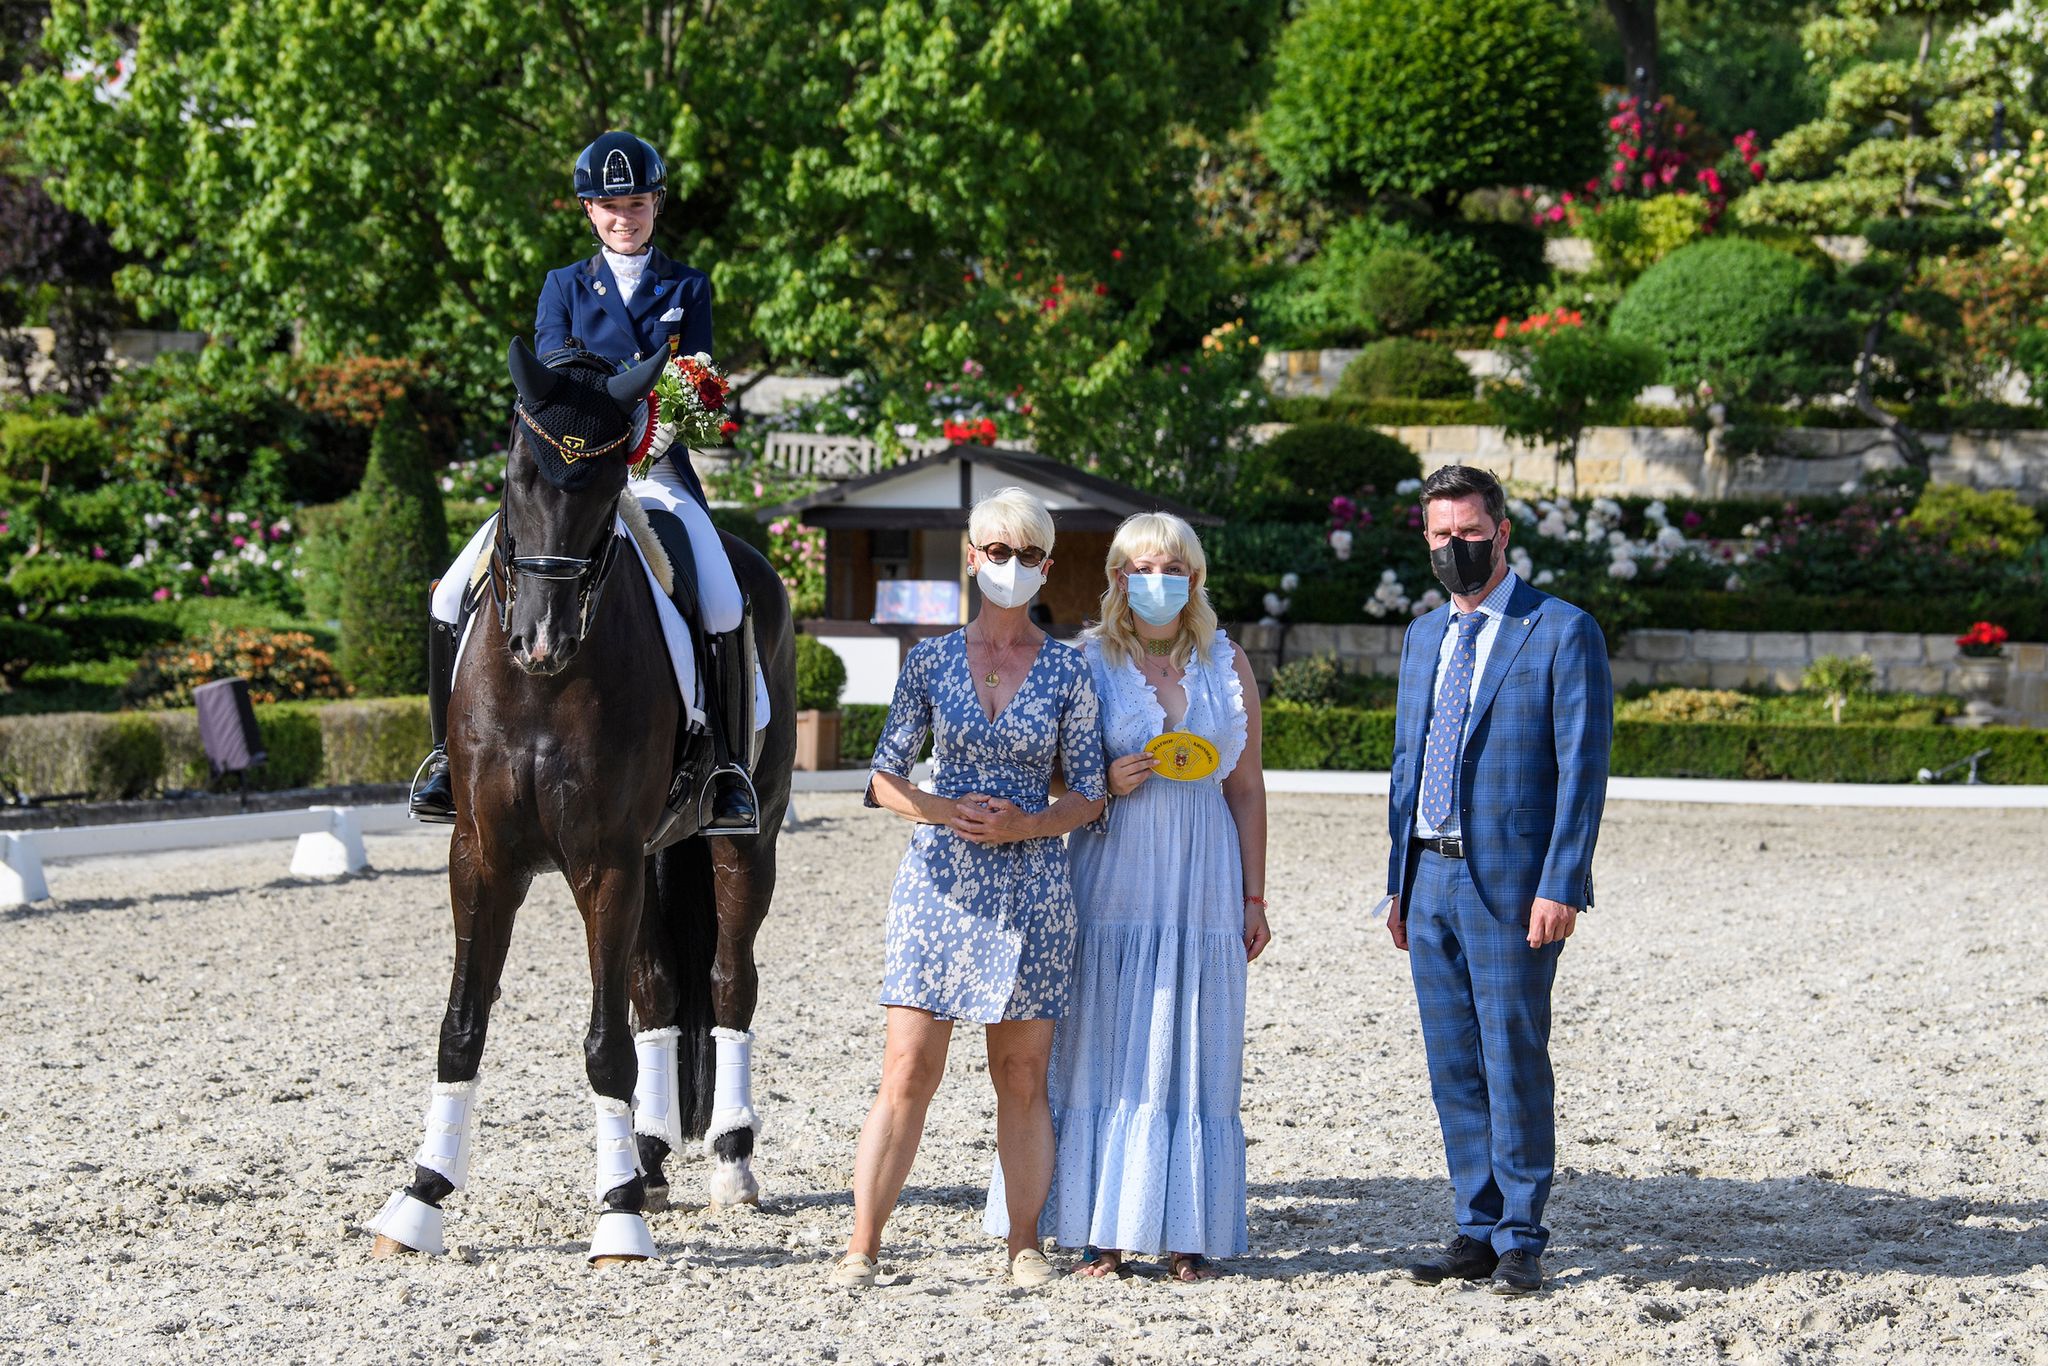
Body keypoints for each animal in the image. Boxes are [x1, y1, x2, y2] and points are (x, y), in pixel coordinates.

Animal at [368, 342, 790, 1269]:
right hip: (654, 858)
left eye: (602, 491)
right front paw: (421, 1197)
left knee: (728, 981)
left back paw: (729, 1161)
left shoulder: (603, 862)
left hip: (743, 843)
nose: (540, 641)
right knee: (660, 988)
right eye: (519, 474)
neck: (540, 690)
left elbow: (605, 1047)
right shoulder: (482, 857)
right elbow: (463, 1025)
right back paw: (652, 1154)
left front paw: (618, 1220)